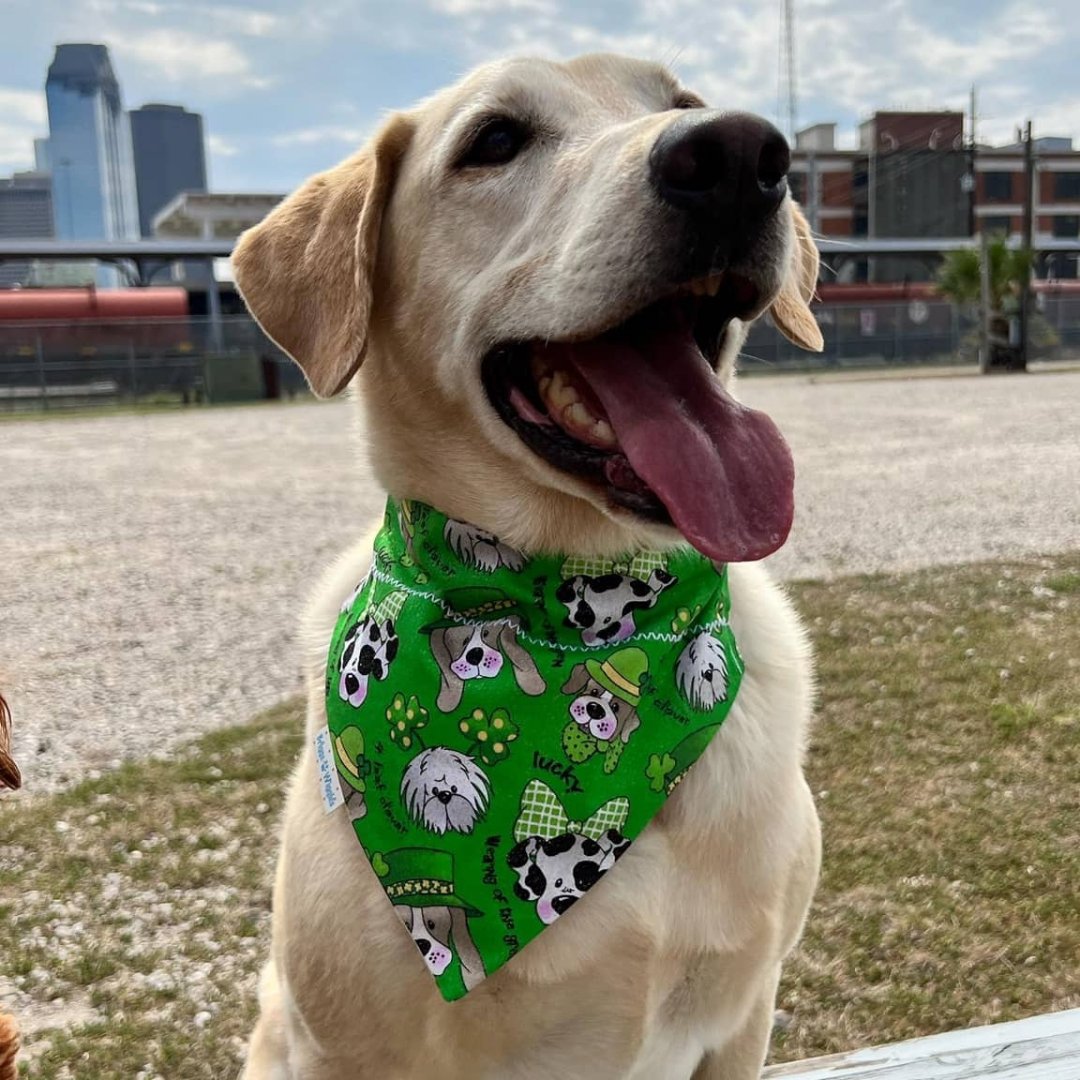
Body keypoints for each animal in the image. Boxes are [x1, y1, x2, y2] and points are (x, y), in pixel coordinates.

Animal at [236, 54, 820, 1080]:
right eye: (495, 140)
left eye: (683, 106)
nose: (739, 154)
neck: (582, 607)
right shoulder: (343, 1047)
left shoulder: (743, 1011)